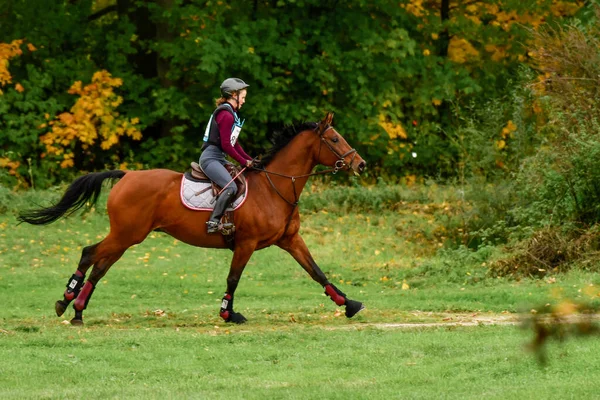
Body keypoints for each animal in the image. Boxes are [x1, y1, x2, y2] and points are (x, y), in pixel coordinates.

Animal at [17, 112, 366, 324]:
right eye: (335, 139)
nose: (360, 164)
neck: (274, 186)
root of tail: (127, 174)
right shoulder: (246, 243)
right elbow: (233, 278)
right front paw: (228, 313)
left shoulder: (290, 240)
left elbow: (316, 271)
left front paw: (349, 304)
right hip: (127, 234)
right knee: (90, 253)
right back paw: (67, 300)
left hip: (127, 237)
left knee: (101, 265)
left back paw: (76, 309)